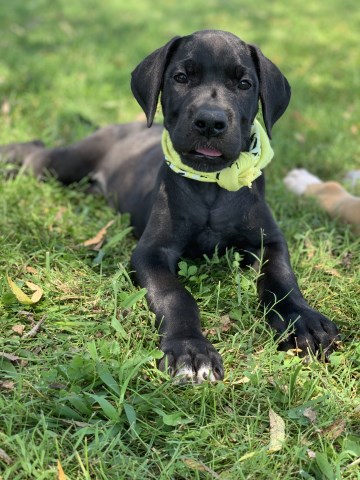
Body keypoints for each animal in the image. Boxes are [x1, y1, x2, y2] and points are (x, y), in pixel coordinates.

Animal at [0, 31, 338, 382]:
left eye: (244, 84)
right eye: (181, 78)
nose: (210, 122)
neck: (212, 185)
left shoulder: (268, 240)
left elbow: (281, 278)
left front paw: (303, 321)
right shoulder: (151, 252)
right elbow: (175, 296)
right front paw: (191, 349)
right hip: (66, 163)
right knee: (38, 152)